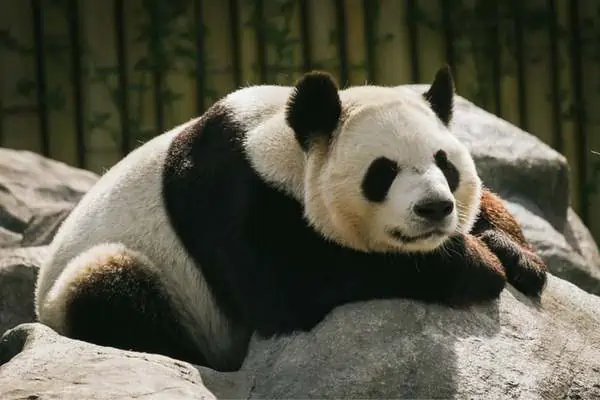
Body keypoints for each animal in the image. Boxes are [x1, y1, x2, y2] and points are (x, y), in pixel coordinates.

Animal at [34, 65, 548, 372]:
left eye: (445, 164)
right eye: (382, 173)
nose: (434, 208)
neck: (284, 145)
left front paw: (517, 256)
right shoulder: (232, 197)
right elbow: (290, 284)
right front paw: (477, 265)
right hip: (114, 280)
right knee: (108, 286)